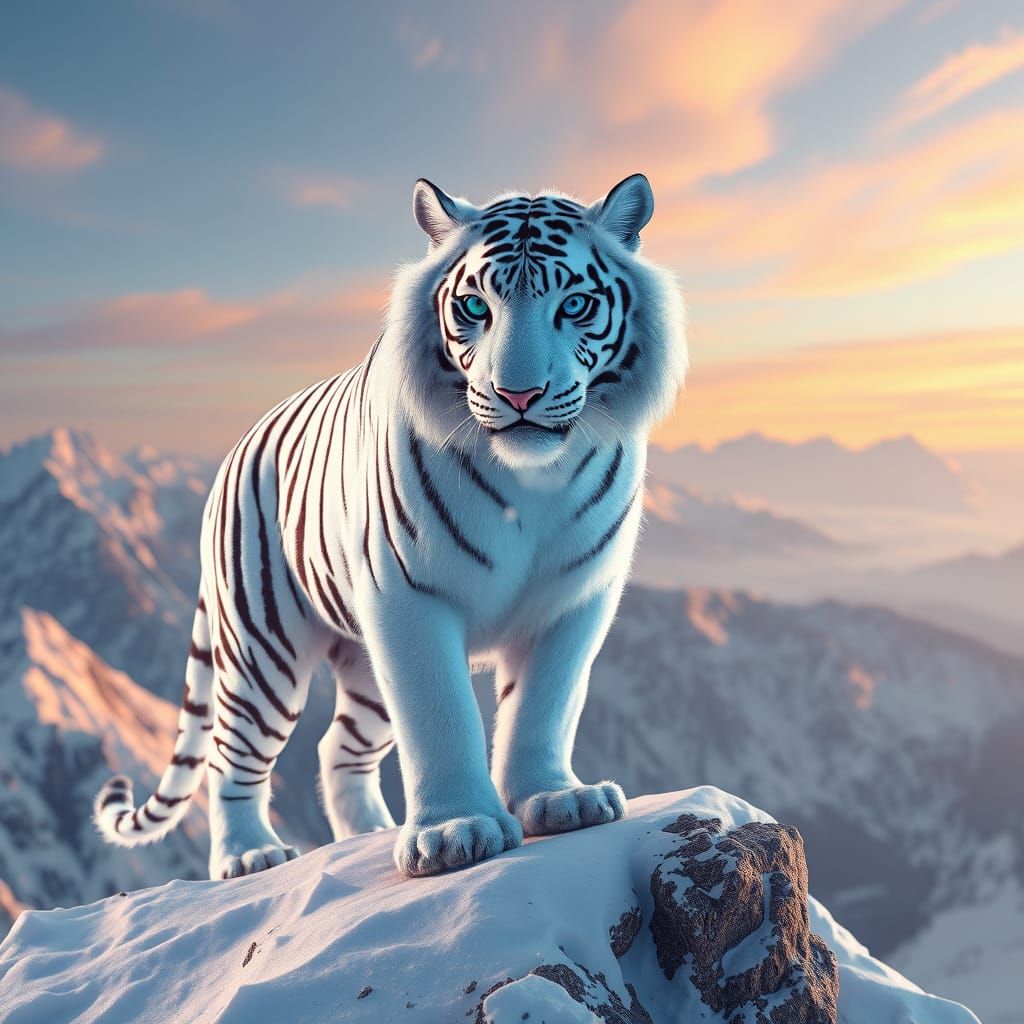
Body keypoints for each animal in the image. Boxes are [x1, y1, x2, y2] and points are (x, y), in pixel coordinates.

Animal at [94, 173, 687, 879]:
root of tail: (235, 450)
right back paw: (249, 855)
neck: (532, 481)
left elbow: (545, 704)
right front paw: (454, 833)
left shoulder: (577, 596)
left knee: (336, 750)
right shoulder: (408, 596)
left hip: (360, 664)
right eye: (475, 307)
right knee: (231, 751)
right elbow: (439, 714)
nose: (518, 395)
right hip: (263, 645)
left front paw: (557, 800)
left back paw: (366, 836)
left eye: (574, 305)